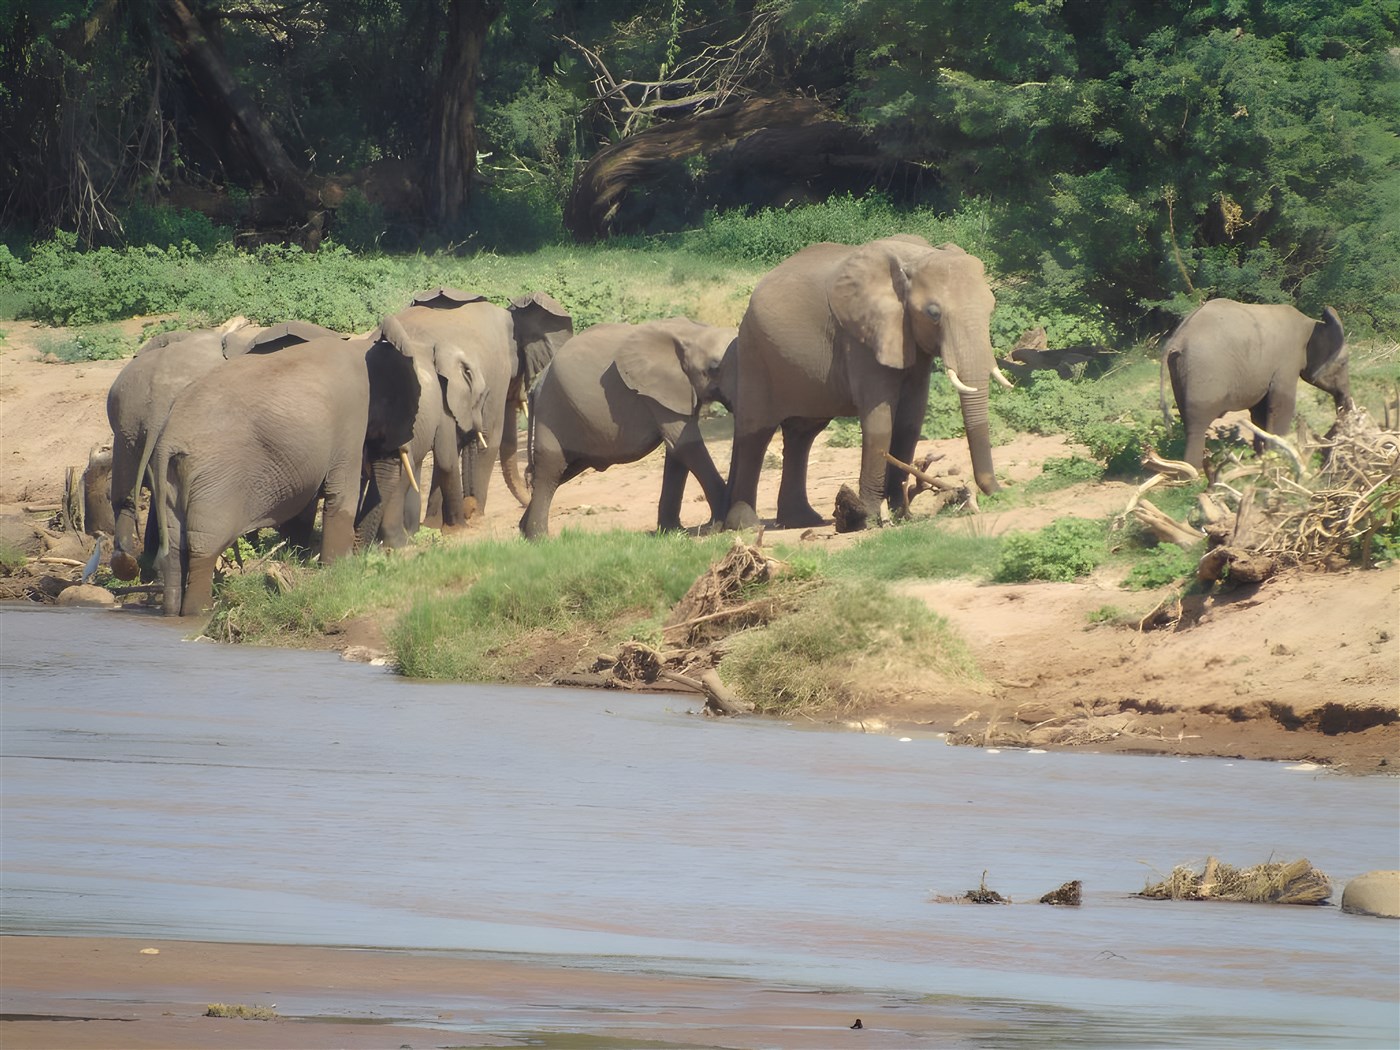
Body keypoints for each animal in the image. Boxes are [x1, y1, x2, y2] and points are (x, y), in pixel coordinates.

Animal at [150, 331, 419, 617]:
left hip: (172, 477)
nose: (364, 555)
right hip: (215, 480)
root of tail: (169, 437)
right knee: (205, 544)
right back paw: (199, 612)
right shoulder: (351, 418)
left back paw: (171, 612)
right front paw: (337, 568)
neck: (361, 348)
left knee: (175, 544)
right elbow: (342, 491)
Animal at [521, 317, 738, 539]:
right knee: (551, 467)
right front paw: (716, 525)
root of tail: (535, 384)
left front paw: (674, 532)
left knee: (565, 469)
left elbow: (677, 452)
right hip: (551, 410)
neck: (692, 332)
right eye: (714, 369)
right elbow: (685, 444)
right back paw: (540, 539)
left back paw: (524, 531)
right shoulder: (655, 392)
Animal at [724, 235, 1009, 531]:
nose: (997, 493)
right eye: (933, 313)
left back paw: (801, 520)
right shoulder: (861, 339)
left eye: (991, 306)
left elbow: (910, 421)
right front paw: (869, 518)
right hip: (753, 353)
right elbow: (880, 421)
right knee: (755, 434)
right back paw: (746, 525)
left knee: (802, 434)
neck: (915, 258)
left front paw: (900, 513)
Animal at [1160, 298, 1351, 469]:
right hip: (1203, 373)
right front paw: (1277, 460)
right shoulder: (1287, 362)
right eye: (1344, 363)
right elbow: (1282, 404)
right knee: (1197, 425)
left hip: (1179, 371)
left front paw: (1260, 458)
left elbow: (1260, 410)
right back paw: (1193, 473)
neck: (1312, 324)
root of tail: (1177, 339)